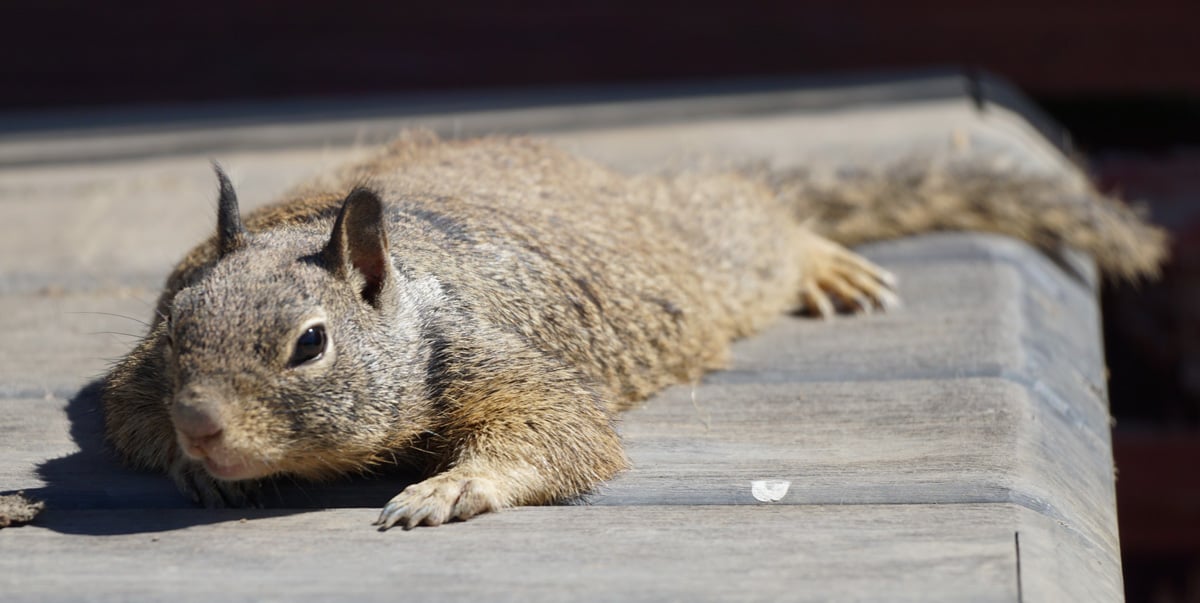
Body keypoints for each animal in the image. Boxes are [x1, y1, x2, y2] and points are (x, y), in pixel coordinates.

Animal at [100, 132, 1161, 528]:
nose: (203, 424)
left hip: (709, 253)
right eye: (176, 328)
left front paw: (452, 486)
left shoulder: (487, 356)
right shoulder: (135, 376)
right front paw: (190, 463)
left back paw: (817, 255)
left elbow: (564, 431)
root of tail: (617, 183)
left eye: (311, 344)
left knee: (753, 214)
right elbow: (122, 413)